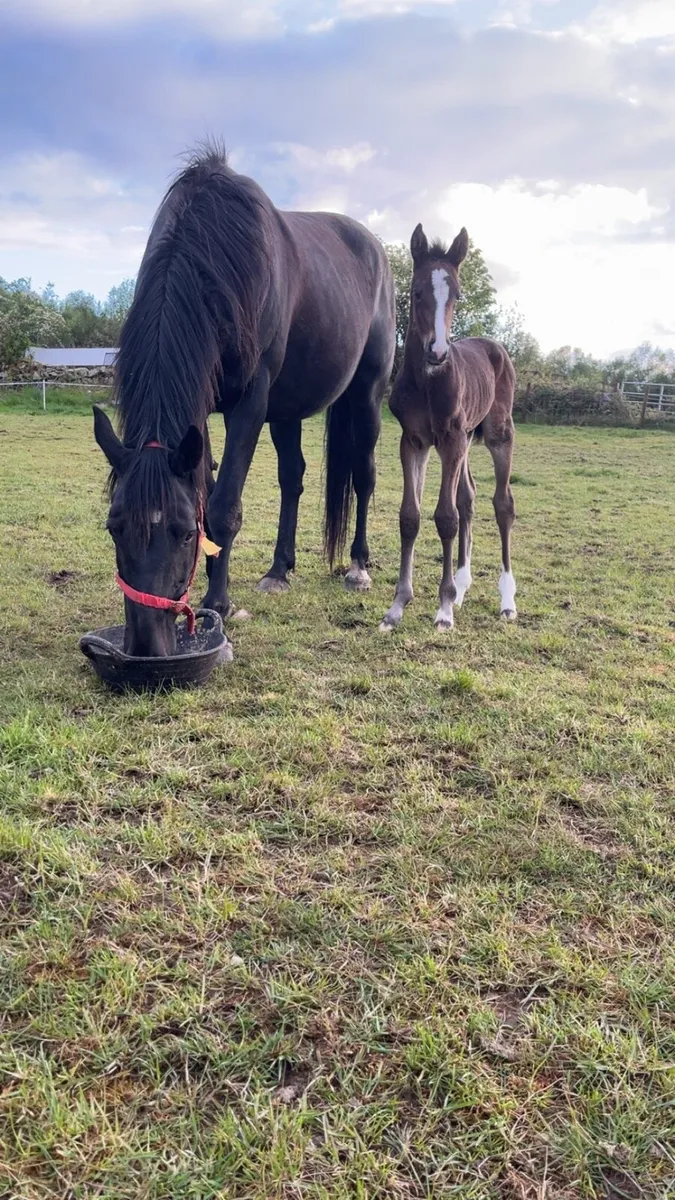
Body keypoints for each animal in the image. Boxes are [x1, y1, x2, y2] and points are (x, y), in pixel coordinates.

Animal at [93, 145, 395, 656]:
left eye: (183, 533)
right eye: (115, 527)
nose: (147, 646)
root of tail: (374, 249)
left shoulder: (249, 402)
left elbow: (222, 506)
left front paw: (219, 601)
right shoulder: (202, 414)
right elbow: (207, 488)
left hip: (367, 396)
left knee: (364, 475)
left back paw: (357, 566)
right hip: (287, 411)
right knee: (293, 478)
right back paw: (279, 570)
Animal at [379, 223, 517, 633]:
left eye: (457, 294)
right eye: (416, 292)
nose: (437, 352)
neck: (427, 383)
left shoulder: (451, 440)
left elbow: (446, 517)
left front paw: (442, 610)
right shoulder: (415, 441)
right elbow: (411, 516)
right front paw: (397, 606)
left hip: (496, 433)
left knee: (502, 504)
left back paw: (506, 601)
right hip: (465, 440)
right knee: (469, 497)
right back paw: (462, 584)